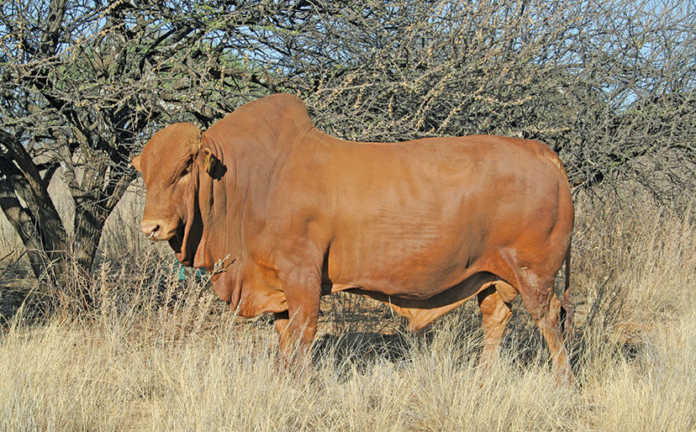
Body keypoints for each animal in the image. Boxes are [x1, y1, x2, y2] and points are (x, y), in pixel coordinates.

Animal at [132, 94, 575, 384]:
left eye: (184, 168)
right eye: (144, 171)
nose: (151, 226)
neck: (251, 182)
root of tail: (544, 153)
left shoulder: (303, 277)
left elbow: (302, 333)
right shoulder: (277, 285)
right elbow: (283, 337)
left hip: (534, 274)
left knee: (550, 319)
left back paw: (562, 382)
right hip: (490, 277)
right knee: (496, 319)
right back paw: (483, 379)